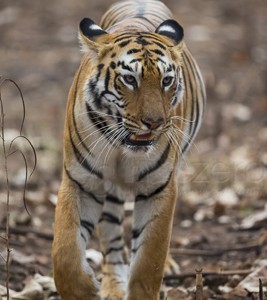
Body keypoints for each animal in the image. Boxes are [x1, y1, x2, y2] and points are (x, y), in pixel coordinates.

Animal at [52, 0, 207, 298]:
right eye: (129, 79)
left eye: (166, 80)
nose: (154, 122)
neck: (121, 148)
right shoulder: (80, 181)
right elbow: (64, 251)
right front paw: (83, 290)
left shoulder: (160, 187)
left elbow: (149, 261)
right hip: (108, 189)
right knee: (110, 235)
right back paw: (112, 285)